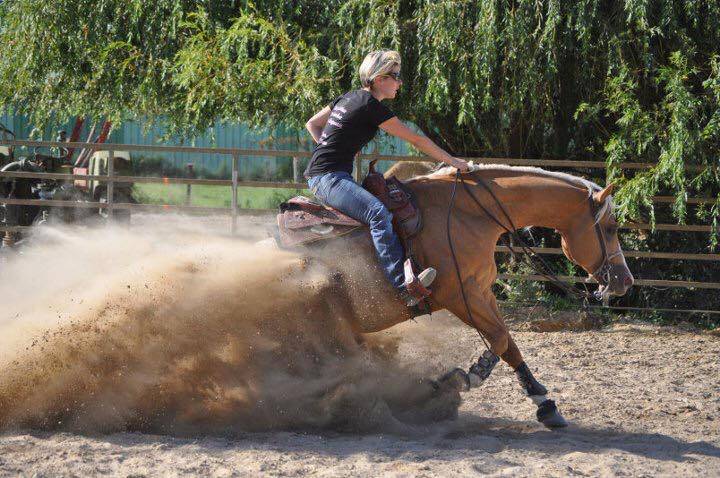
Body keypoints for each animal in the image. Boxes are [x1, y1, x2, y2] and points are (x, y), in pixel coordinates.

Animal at [288, 163, 634, 428]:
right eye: (611, 227)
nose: (626, 281)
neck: (465, 215)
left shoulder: (481, 292)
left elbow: (509, 344)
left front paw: (544, 403)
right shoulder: (459, 295)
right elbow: (499, 339)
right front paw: (467, 376)